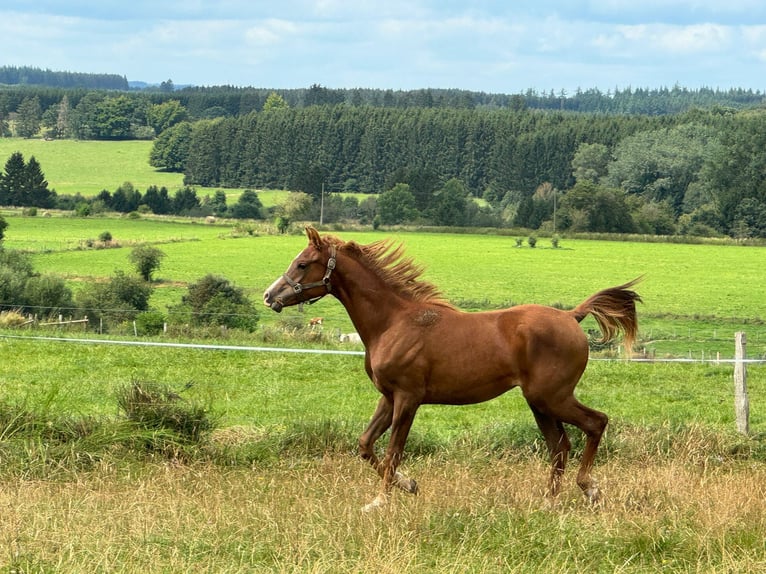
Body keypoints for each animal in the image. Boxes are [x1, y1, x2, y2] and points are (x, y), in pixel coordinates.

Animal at [264, 227, 640, 510]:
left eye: (302, 264)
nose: (270, 296)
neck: (393, 322)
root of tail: (571, 316)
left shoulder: (408, 398)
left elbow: (393, 451)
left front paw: (381, 501)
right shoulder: (388, 397)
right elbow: (366, 445)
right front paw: (409, 485)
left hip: (552, 397)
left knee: (595, 423)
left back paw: (589, 488)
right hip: (539, 402)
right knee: (560, 446)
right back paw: (548, 503)